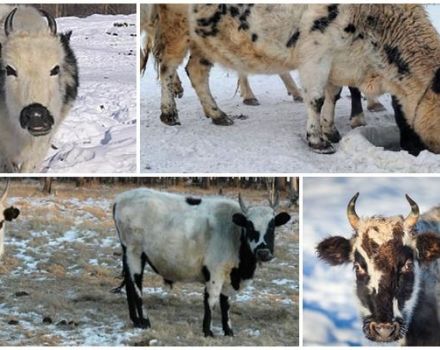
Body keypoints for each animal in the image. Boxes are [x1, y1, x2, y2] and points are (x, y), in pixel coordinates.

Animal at [113, 189, 290, 336]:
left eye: (272, 226)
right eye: (249, 225)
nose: (263, 252)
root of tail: (121, 198)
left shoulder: (228, 276)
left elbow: (225, 303)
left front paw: (228, 331)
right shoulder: (215, 272)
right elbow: (211, 301)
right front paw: (208, 331)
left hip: (130, 253)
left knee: (129, 284)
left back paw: (135, 320)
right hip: (134, 252)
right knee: (136, 285)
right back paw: (144, 321)